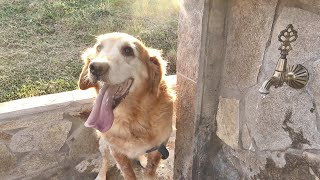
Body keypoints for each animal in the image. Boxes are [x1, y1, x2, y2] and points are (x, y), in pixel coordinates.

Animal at [79, 32, 175, 180]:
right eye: (98, 47)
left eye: (128, 50)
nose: (96, 67)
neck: (133, 119)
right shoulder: (116, 150)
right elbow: (128, 172)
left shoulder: (160, 145)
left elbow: (150, 170)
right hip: (103, 143)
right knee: (105, 160)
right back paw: (101, 175)